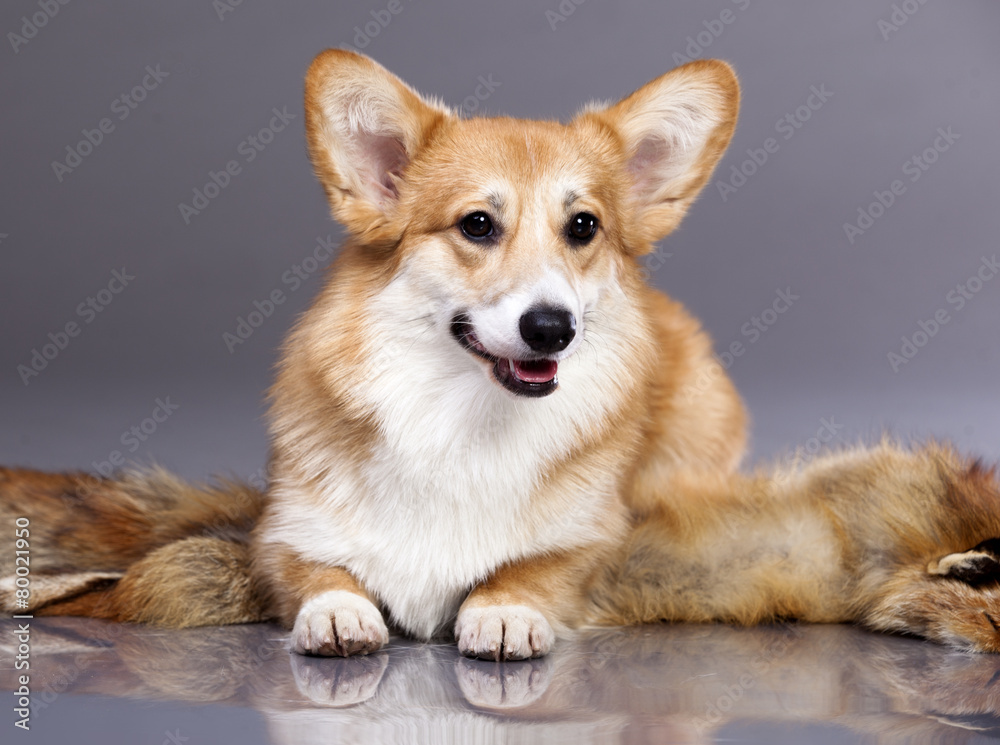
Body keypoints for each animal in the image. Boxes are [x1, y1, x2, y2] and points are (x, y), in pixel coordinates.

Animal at [1, 50, 1000, 656]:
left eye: (583, 227)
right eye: (477, 225)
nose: (552, 327)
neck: (463, 423)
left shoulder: (603, 541)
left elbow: (533, 567)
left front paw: (506, 610)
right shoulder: (283, 532)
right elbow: (316, 569)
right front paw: (340, 608)